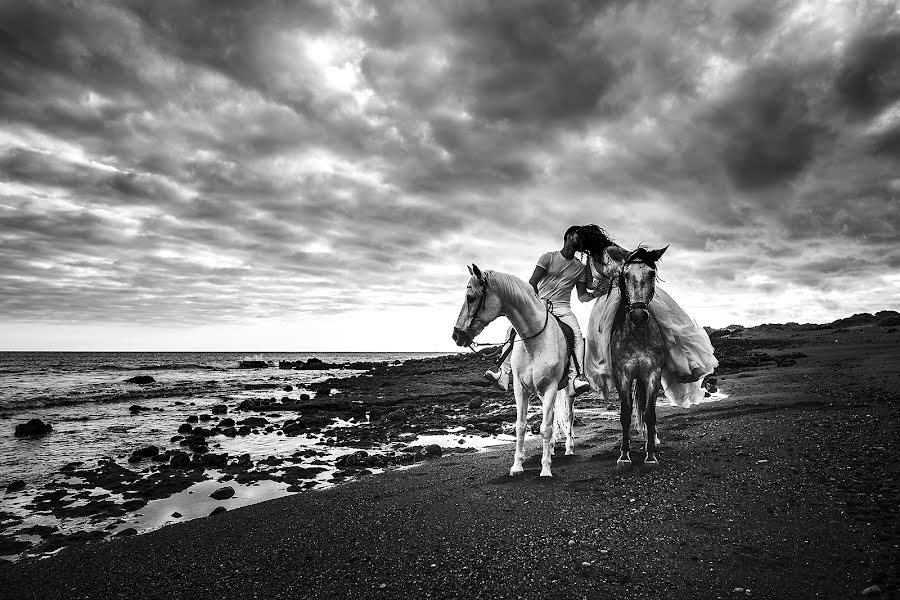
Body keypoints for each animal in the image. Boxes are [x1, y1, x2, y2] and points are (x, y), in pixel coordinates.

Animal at [450, 264, 576, 476]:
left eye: (470, 297)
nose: (456, 335)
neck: (535, 342)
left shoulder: (550, 387)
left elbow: (546, 428)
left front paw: (545, 469)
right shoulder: (520, 388)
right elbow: (521, 426)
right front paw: (517, 466)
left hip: (566, 390)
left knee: (568, 416)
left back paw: (568, 448)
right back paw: (551, 449)